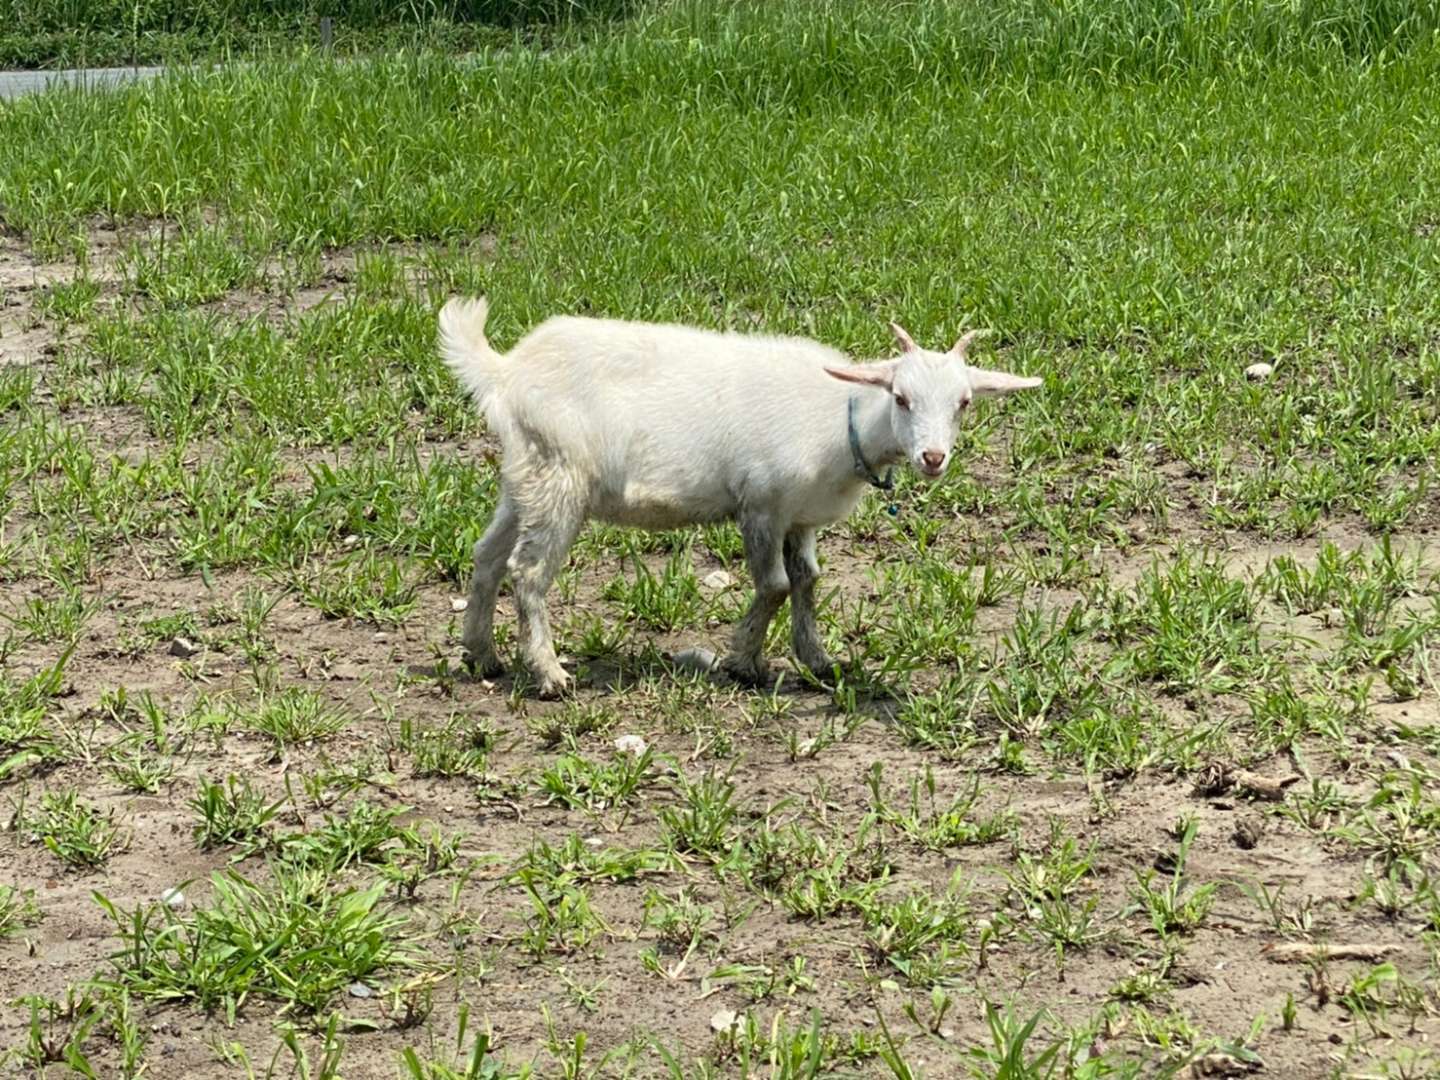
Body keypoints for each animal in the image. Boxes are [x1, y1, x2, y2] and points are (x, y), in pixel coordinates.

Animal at [432, 298, 1042, 702]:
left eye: (964, 402)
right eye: (901, 397)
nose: (933, 458)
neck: (842, 418)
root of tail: (506, 369)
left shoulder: (800, 518)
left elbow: (807, 581)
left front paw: (817, 659)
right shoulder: (762, 504)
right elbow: (773, 585)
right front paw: (743, 660)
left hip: (526, 477)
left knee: (488, 557)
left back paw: (481, 655)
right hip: (560, 476)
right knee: (529, 572)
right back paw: (549, 674)